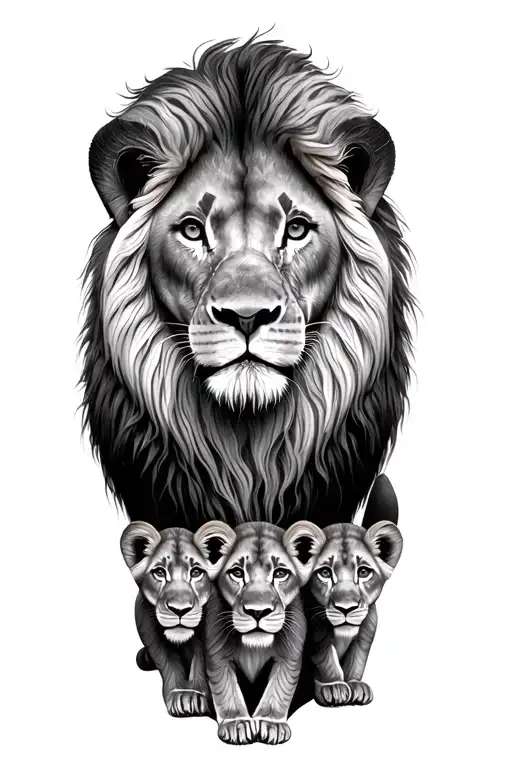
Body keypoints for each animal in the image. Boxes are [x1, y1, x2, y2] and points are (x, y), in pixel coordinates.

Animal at [120, 520, 236, 717]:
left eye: (196, 572)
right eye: (159, 572)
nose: (179, 610)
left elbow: (202, 661)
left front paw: (194, 695)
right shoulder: (150, 631)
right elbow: (168, 663)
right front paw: (178, 694)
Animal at [204, 520, 325, 745]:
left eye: (280, 573)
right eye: (237, 572)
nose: (257, 611)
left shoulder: (289, 655)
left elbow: (279, 688)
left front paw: (271, 724)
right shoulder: (217, 653)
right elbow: (226, 689)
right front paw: (237, 724)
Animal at [304, 482, 403, 707]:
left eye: (364, 572)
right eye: (325, 572)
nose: (346, 608)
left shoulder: (365, 634)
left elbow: (356, 661)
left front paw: (355, 686)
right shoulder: (316, 634)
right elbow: (327, 661)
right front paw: (333, 687)